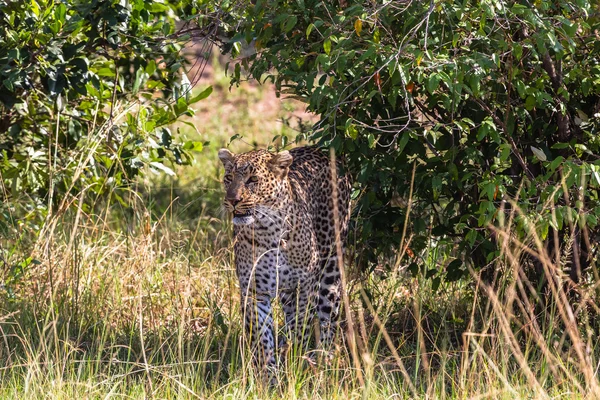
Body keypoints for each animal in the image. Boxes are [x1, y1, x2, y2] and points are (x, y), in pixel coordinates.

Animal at [218, 146, 352, 372]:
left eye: (252, 179)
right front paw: (270, 375)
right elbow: (262, 341)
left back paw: (324, 361)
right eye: (228, 178)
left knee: (328, 319)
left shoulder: (304, 288)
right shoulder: (255, 292)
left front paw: (295, 365)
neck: (266, 230)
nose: (232, 200)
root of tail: (321, 149)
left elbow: (300, 328)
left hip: (331, 266)